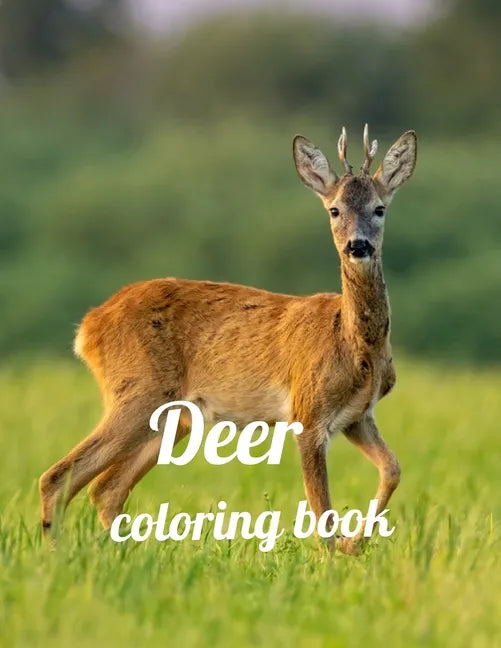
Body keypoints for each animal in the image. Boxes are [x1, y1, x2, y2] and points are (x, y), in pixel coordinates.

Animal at [39, 124, 417, 554]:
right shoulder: (307, 411)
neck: (356, 347)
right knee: (58, 477)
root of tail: (89, 326)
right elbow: (322, 512)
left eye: (379, 209)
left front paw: (354, 543)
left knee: (105, 489)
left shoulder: (358, 416)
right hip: (137, 391)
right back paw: (56, 557)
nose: (358, 245)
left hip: (173, 416)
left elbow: (393, 469)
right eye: (334, 210)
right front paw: (336, 553)